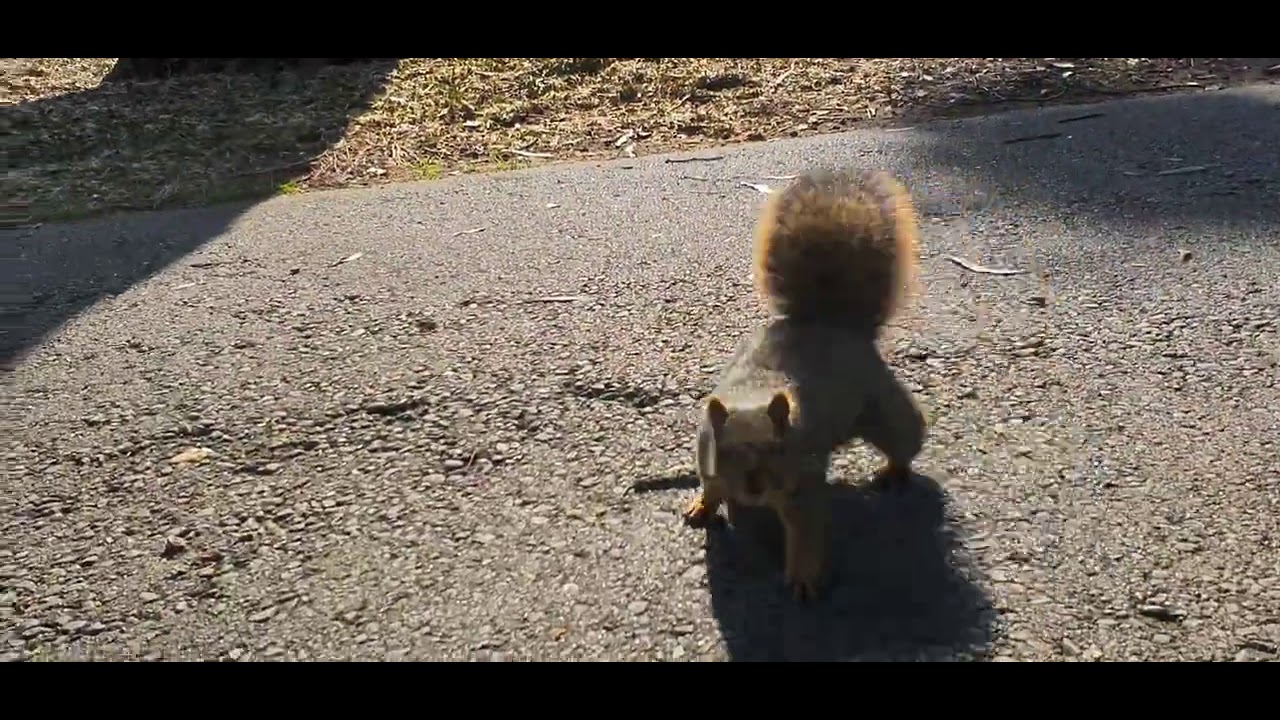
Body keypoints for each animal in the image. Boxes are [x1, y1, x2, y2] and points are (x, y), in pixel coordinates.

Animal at [683, 167, 928, 602]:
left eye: (780, 447)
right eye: (725, 450)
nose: (755, 488)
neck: (755, 394)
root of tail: (833, 324)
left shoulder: (804, 481)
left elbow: (807, 533)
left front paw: (802, 580)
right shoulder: (705, 453)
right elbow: (710, 486)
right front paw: (702, 506)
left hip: (882, 408)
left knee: (905, 437)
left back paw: (895, 471)